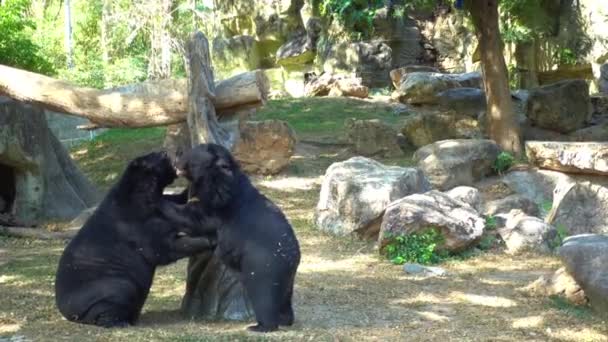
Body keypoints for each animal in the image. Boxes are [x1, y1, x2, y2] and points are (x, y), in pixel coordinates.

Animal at [54, 151, 216, 328]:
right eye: (161, 155)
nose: (172, 153)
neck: (143, 191)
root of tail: (68, 314)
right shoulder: (139, 224)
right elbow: (166, 248)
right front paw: (210, 240)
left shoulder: (160, 204)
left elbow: (178, 201)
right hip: (104, 288)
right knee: (120, 293)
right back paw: (118, 322)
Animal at [169, 143, 302, 332]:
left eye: (192, 151)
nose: (177, 152)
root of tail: (293, 256)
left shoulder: (220, 203)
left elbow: (197, 216)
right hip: (286, 277)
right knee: (284, 298)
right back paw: (285, 320)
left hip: (263, 266)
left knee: (264, 297)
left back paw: (260, 326)